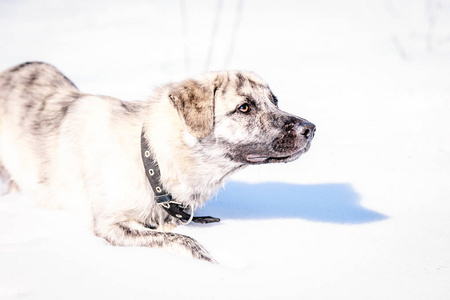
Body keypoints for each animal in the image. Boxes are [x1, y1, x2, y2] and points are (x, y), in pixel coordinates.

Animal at [0, 62, 314, 262]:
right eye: (244, 107)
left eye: (274, 101)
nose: (310, 129)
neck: (152, 160)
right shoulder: (111, 224)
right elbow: (187, 243)